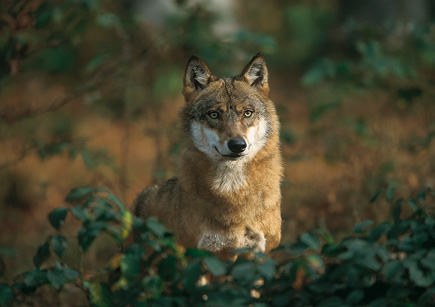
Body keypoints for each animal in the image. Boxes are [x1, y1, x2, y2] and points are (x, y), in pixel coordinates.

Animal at [131, 53, 284, 260]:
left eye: (247, 113)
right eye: (214, 114)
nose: (237, 145)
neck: (232, 193)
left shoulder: (260, 255)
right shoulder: (198, 254)